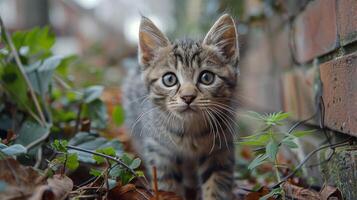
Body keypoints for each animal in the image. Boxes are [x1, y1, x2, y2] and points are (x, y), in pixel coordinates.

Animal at [122, 14, 239, 200]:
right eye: (169, 79)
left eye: (207, 77)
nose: (187, 97)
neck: (190, 132)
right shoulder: (160, 150)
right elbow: (167, 185)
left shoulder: (221, 148)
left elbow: (216, 184)